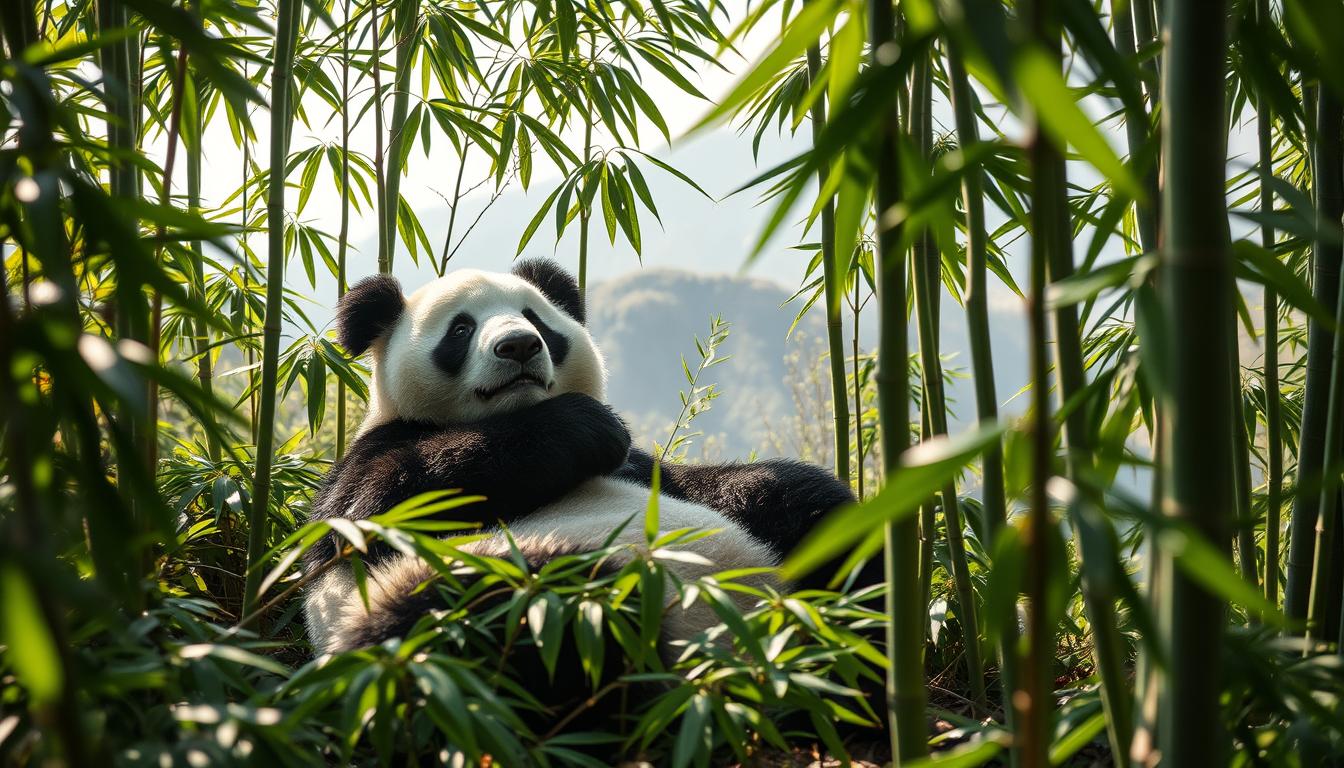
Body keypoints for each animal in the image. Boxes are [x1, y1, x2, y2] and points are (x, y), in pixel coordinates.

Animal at [302, 259, 864, 661]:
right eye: (460, 330)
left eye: (535, 319)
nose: (518, 345)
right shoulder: (373, 454)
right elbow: (384, 505)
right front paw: (587, 427)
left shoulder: (644, 470)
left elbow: (694, 479)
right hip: (468, 581)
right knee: (530, 611)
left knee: (806, 509)